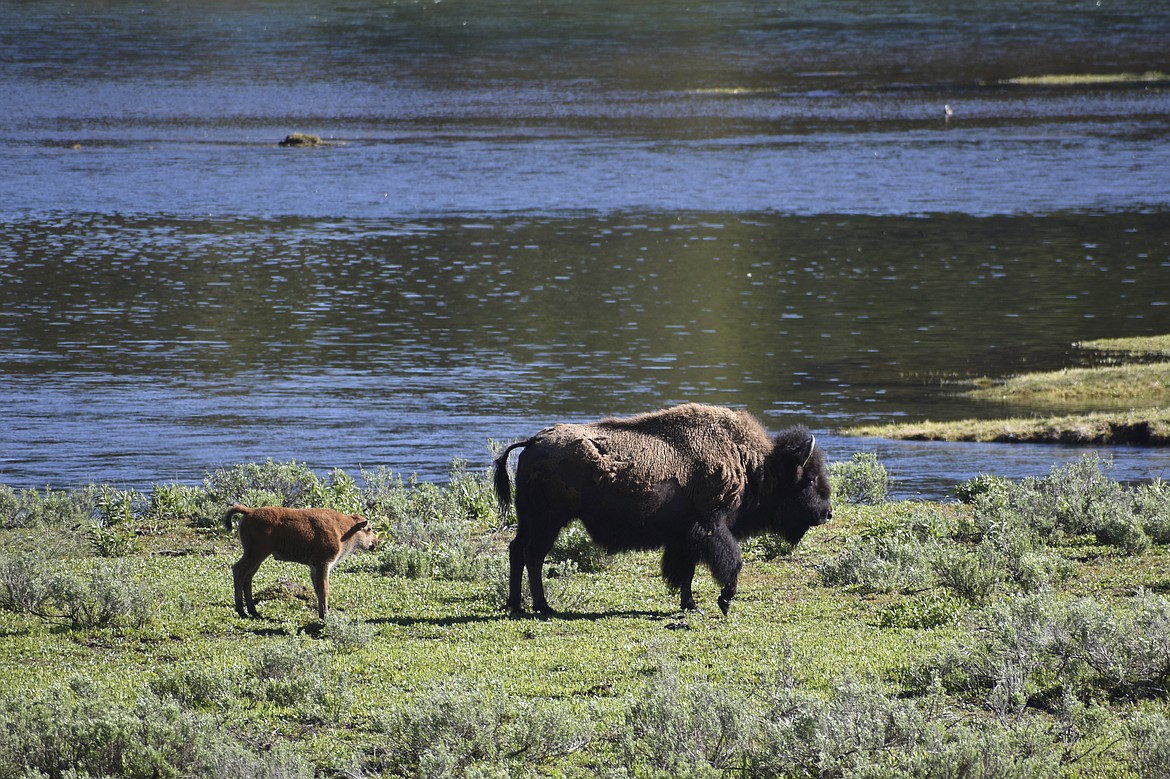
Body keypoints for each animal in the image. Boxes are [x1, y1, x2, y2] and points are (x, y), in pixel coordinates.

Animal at [219, 502, 379, 617]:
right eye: (369, 529)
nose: (375, 542)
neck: (345, 530)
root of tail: (249, 512)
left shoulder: (314, 567)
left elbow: (318, 590)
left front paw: (322, 614)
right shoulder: (323, 565)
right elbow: (324, 590)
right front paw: (326, 615)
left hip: (258, 558)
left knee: (248, 576)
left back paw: (253, 611)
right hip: (255, 554)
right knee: (239, 570)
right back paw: (242, 611)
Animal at [493, 400, 833, 612]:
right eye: (809, 479)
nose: (826, 513)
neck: (752, 465)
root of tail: (534, 442)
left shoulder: (686, 537)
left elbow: (685, 572)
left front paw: (691, 605)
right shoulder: (711, 527)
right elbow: (731, 561)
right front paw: (723, 601)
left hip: (532, 520)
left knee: (517, 551)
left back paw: (517, 605)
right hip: (548, 521)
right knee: (533, 555)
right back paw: (542, 607)